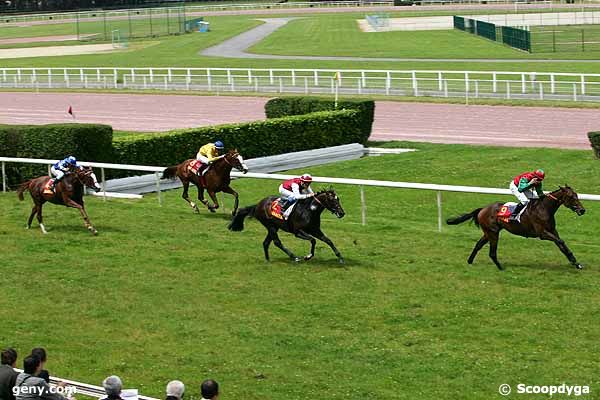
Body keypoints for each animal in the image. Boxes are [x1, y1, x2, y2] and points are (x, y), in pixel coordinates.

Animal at [448, 186, 588, 270]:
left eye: (577, 195)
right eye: (571, 197)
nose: (582, 210)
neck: (543, 208)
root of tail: (482, 209)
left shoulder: (552, 231)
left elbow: (561, 245)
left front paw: (576, 262)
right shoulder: (542, 234)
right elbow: (561, 242)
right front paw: (574, 261)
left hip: (488, 232)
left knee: (478, 245)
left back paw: (470, 261)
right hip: (493, 233)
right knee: (492, 252)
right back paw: (500, 267)